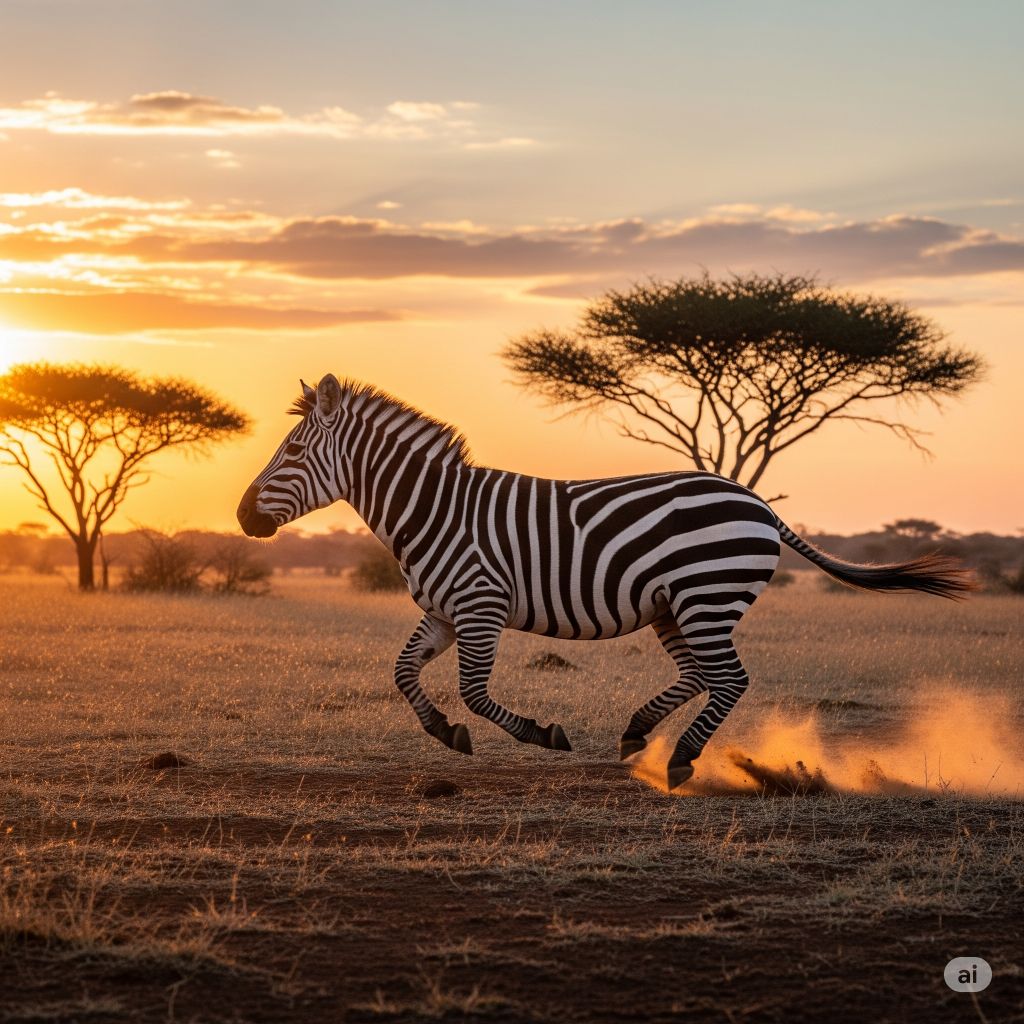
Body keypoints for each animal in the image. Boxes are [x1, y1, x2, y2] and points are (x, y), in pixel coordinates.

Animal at [237, 375, 974, 791]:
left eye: (293, 452)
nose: (242, 517)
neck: (433, 510)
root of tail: (760, 503)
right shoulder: (444, 611)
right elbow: (402, 674)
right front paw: (446, 734)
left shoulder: (480, 604)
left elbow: (474, 692)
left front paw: (541, 735)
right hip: (675, 607)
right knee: (702, 675)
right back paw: (638, 732)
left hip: (707, 596)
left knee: (729, 679)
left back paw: (679, 760)